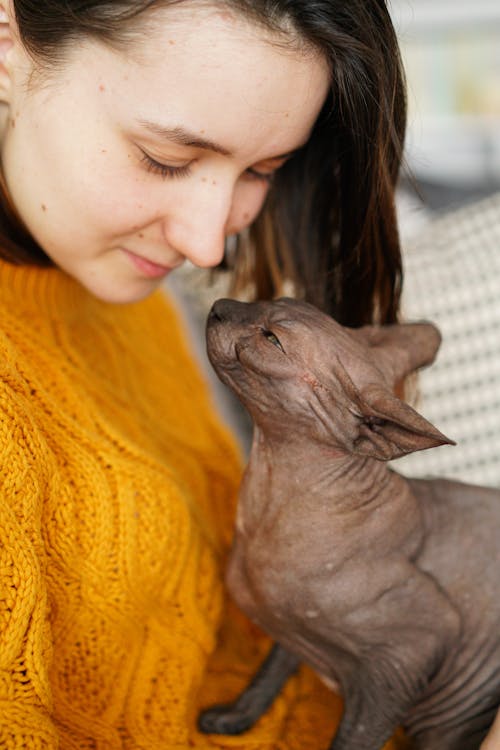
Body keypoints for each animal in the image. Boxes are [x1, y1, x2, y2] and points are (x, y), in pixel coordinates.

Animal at [197, 296, 500, 748]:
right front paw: (234, 717)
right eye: (271, 302)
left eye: (272, 339)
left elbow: (350, 739)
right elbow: (269, 671)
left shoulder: (411, 651)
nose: (219, 305)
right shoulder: (292, 632)